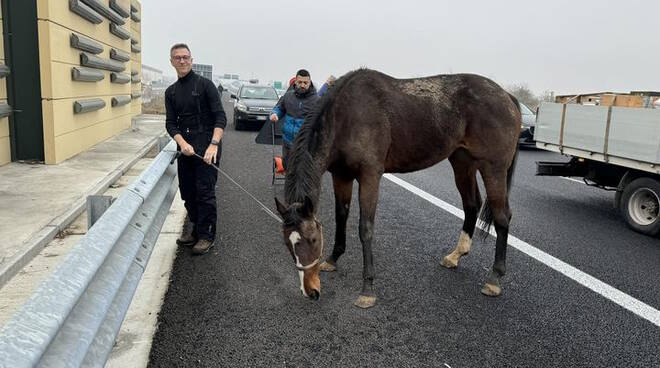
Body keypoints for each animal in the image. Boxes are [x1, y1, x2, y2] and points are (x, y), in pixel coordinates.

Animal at [274, 68, 520, 308]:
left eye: (312, 240)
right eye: (288, 243)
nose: (310, 291)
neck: (346, 115)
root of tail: (507, 96)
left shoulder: (370, 175)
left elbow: (365, 228)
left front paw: (367, 289)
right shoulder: (341, 176)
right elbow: (341, 216)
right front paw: (334, 259)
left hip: (493, 168)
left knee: (502, 216)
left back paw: (495, 277)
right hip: (462, 162)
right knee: (471, 205)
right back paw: (456, 255)